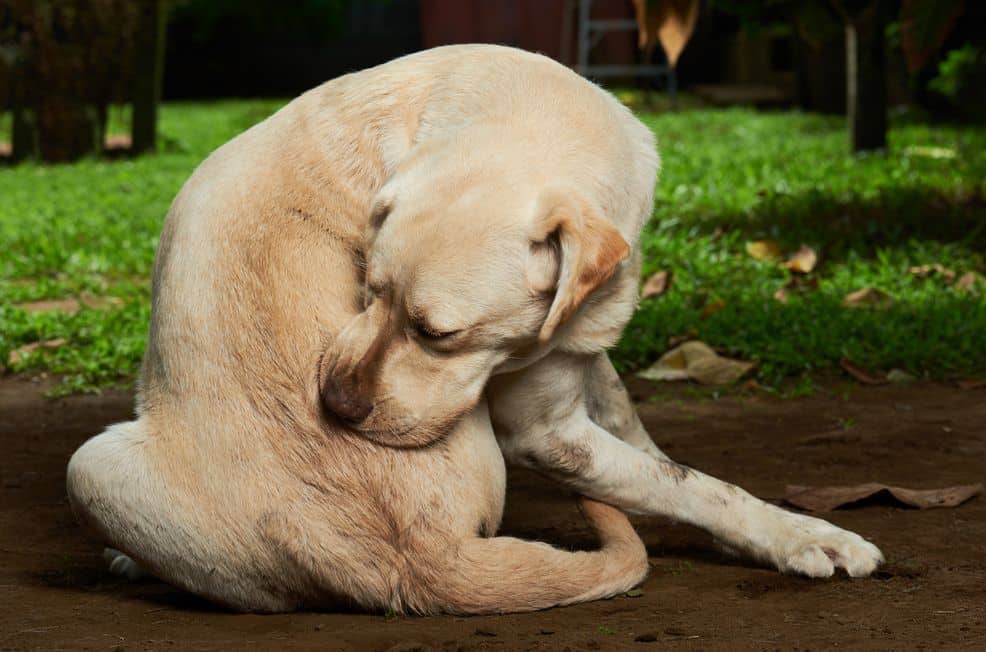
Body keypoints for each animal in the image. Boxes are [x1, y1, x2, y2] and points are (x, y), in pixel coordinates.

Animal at [63, 43, 876, 612]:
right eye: (367, 289)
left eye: (440, 334)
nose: (335, 407)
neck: (526, 108)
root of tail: (418, 563)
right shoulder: (546, 433)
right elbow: (695, 484)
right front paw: (806, 535)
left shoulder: (577, 362)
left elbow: (652, 449)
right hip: (88, 465)